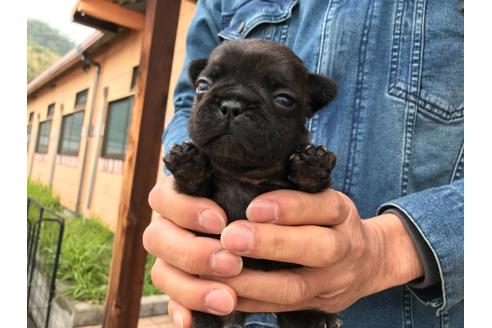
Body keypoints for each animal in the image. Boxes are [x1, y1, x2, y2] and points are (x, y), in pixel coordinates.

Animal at [163, 40, 340, 328]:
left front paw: (311, 164)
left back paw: (313, 318)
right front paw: (187, 160)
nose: (232, 105)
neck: (244, 175)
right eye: (202, 86)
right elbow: (194, 187)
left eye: (284, 100)